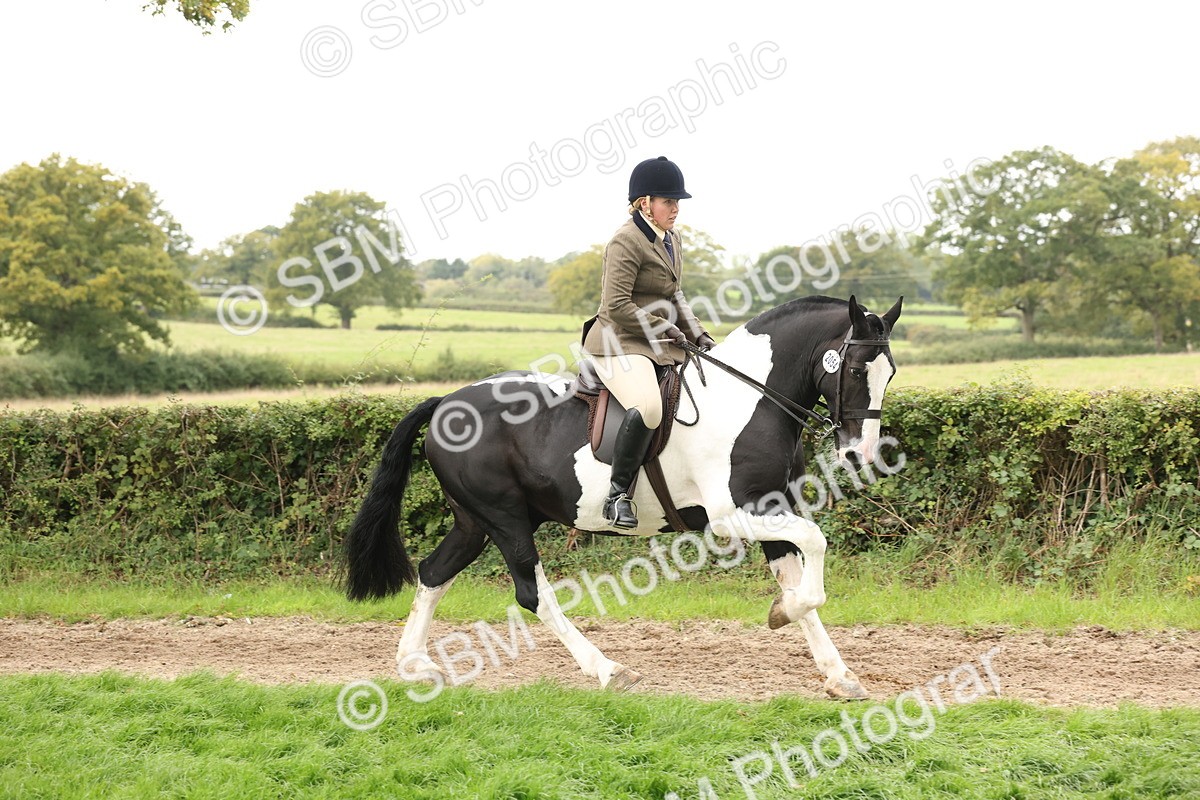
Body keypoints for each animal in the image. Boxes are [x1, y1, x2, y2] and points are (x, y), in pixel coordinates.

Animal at [345, 294, 903, 699]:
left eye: (889, 373)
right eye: (857, 370)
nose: (859, 455)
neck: (752, 399)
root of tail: (447, 402)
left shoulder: (771, 508)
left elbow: (800, 576)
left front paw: (836, 672)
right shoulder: (734, 515)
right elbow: (815, 550)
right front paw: (782, 613)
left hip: (474, 522)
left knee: (434, 572)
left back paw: (413, 664)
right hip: (503, 518)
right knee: (531, 593)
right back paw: (609, 670)